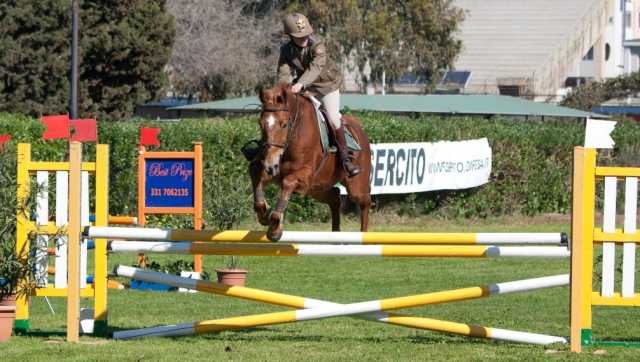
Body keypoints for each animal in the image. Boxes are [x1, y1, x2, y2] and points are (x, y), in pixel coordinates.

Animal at [249, 82, 372, 240]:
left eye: (284, 125)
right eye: (260, 124)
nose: (270, 164)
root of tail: (358, 127)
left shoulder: (305, 175)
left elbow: (287, 183)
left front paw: (275, 227)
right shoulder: (275, 171)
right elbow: (255, 170)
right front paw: (264, 213)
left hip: (355, 187)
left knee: (365, 202)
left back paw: (364, 235)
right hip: (316, 188)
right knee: (335, 197)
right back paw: (336, 234)